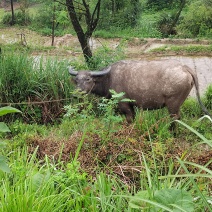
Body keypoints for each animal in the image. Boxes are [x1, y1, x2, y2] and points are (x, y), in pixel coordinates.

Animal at [68, 59, 210, 125]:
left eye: (88, 79)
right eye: (77, 79)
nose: (76, 93)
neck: (109, 78)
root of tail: (185, 68)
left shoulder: (124, 105)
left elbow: (129, 120)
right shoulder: (132, 106)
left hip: (173, 104)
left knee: (175, 119)